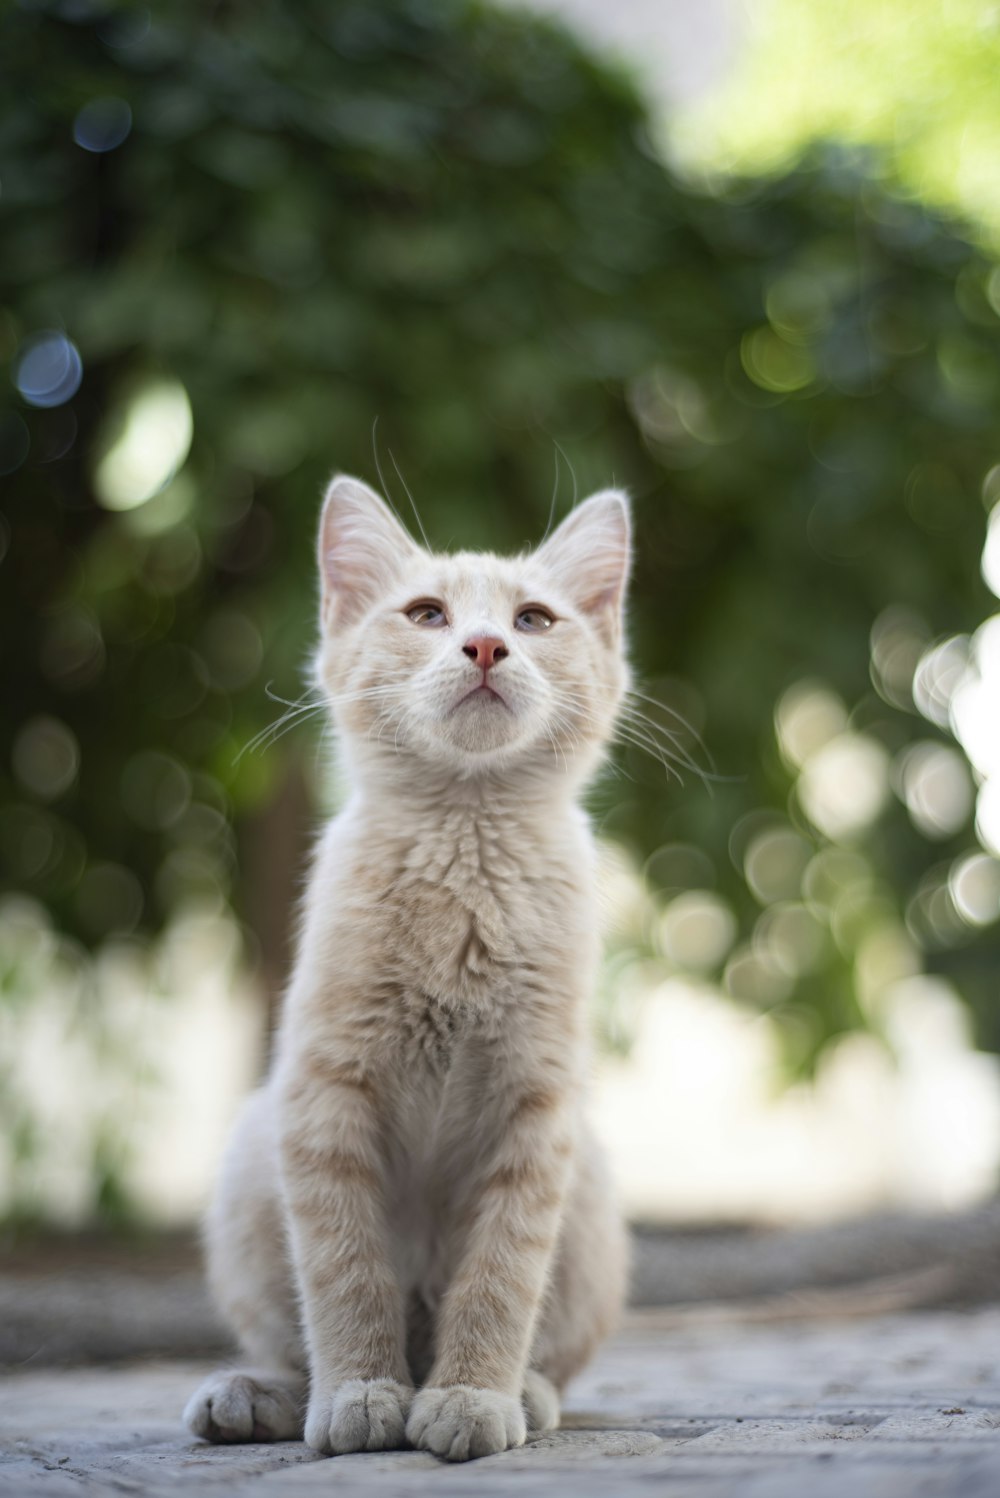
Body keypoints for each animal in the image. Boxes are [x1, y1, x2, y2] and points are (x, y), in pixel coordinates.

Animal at [183, 476, 628, 1462]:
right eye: (427, 614)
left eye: (534, 619)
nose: (487, 643)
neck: (465, 845)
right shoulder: (323, 1097)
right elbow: (344, 1274)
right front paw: (360, 1390)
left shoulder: (536, 1113)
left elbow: (500, 1275)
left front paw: (470, 1395)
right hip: (249, 1159)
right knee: (287, 1336)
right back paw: (259, 1394)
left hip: (590, 1187)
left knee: (554, 1350)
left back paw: (524, 1390)